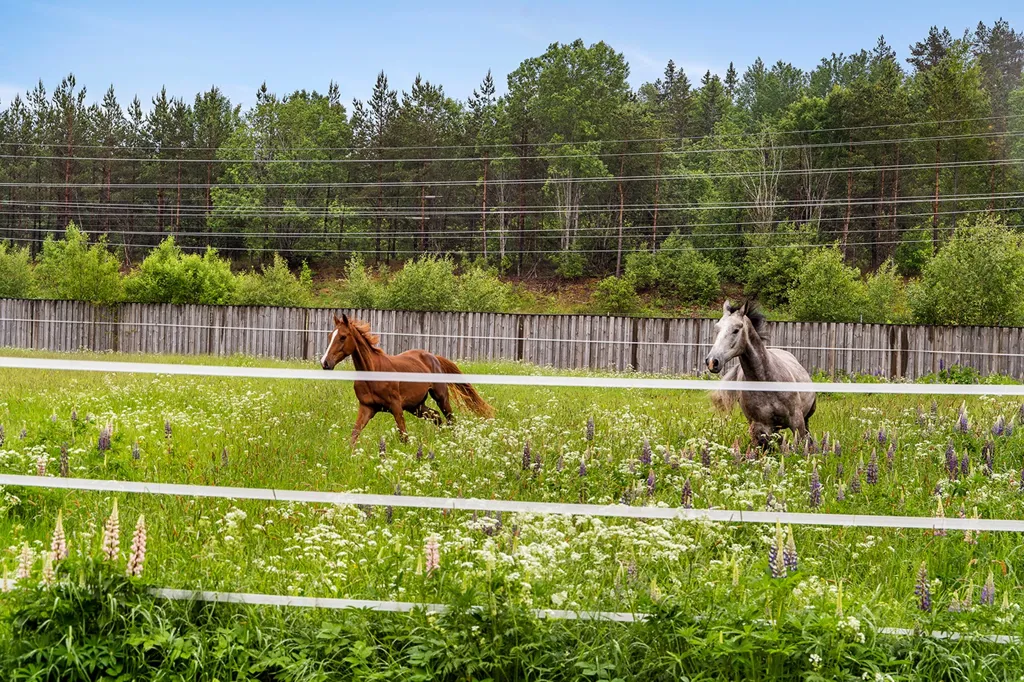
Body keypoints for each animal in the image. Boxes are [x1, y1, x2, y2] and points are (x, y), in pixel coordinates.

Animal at [320, 314, 494, 444]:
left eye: (343, 337)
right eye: (330, 336)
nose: (325, 362)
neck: (373, 373)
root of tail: (433, 357)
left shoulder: (396, 407)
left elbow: (403, 436)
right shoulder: (366, 407)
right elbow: (354, 435)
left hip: (440, 397)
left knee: (451, 420)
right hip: (416, 406)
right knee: (436, 417)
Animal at [705, 300, 816, 448]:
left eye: (736, 330)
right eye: (717, 329)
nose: (712, 361)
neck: (767, 381)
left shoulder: (797, 422)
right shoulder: (761, 427)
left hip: (807, 416)